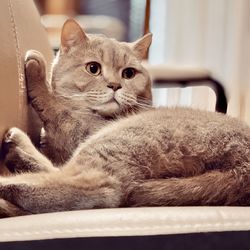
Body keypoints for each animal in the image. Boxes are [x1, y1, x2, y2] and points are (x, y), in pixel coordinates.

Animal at [0, 19, 250, 218]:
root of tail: (242, 173)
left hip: (115, 140)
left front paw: (36, 68)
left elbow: (52, 103)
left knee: (97, 188)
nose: (114, 85)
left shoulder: (78, 127)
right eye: (93, 68)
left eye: (128, 73)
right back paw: (17, 151)